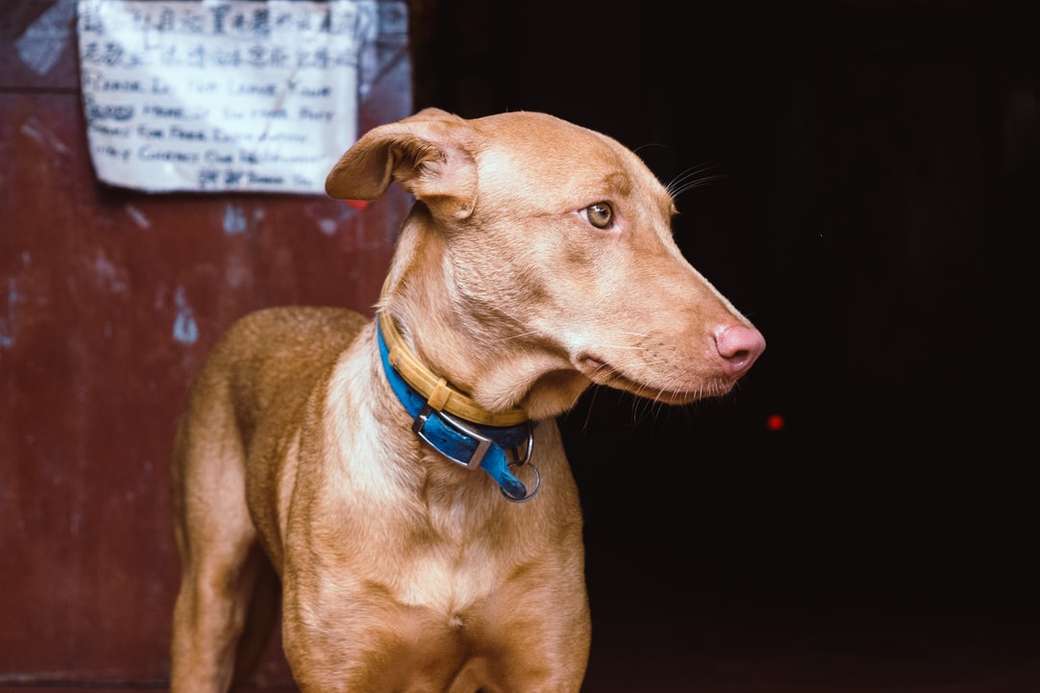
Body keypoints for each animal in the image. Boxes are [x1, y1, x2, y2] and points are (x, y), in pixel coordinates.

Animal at [170, 108, 765, 690]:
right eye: (599, 213)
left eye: (670, 223)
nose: (750, 348)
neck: (455, 467)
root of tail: (265, 311)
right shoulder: (339, 675)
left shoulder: (545, 668)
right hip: (208, 604)